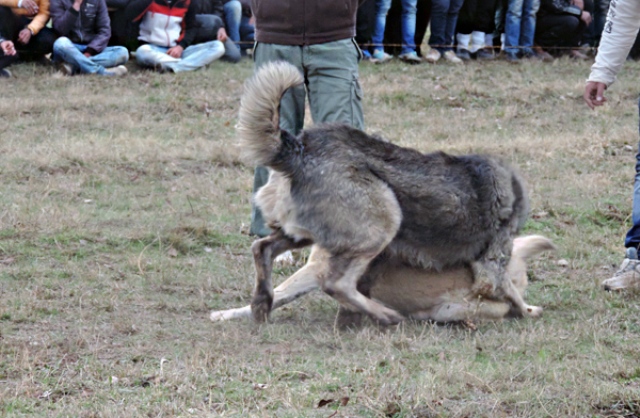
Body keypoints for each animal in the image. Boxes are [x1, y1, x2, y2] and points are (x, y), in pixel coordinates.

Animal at [238, 60, 544, 324]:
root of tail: (299, 149)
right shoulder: (491, 269)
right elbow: (509, 292)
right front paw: (529, 310)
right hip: (384, 221)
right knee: (336, 283)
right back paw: (385, 315)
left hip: (304, 234)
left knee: (262, 248)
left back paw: (262, 304)